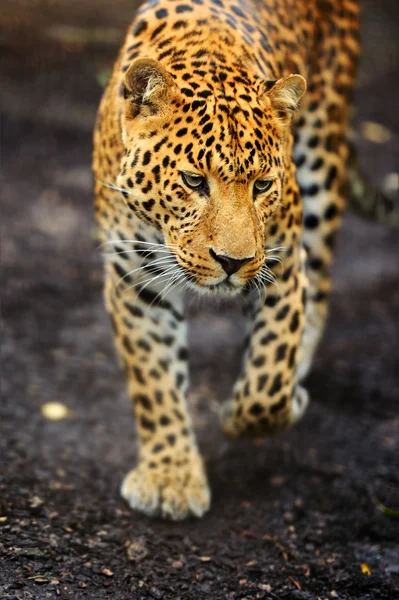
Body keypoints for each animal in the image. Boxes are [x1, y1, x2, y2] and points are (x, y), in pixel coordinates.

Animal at [92, 0, 396, 520]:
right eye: (194, 181)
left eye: (262, 185)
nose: (233, 262)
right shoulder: (134, 278)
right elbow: (154, 380)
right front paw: (170, 476)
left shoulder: (282, 263)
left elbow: (268, 377)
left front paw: (252, 410)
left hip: (322, 164)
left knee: (321, 281)